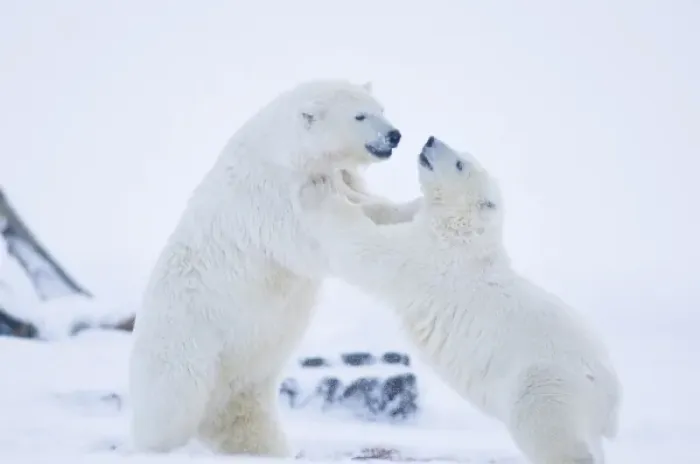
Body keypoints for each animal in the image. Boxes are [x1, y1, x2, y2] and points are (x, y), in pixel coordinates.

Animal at [127, 79, 422, 456]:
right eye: (360, 115)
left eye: (381, 108)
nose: (394, 135)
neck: (284, 150)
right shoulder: (270, 196)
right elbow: (311, 240)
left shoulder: (337, 176)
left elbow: (366, 200)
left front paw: (412, 207)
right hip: (183, 346)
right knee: (170, 407)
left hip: (247, 379)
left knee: (247, 420)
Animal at [294, 136, 622, 464]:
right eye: (461, 155)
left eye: (460, 163)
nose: (430, 139)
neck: (463, 232)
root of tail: (610, 395)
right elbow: (387, 211)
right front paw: (345, 182)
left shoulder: (429, 256)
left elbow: (366, 247)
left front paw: (320, 189)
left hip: (545, 385)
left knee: (553, 435)